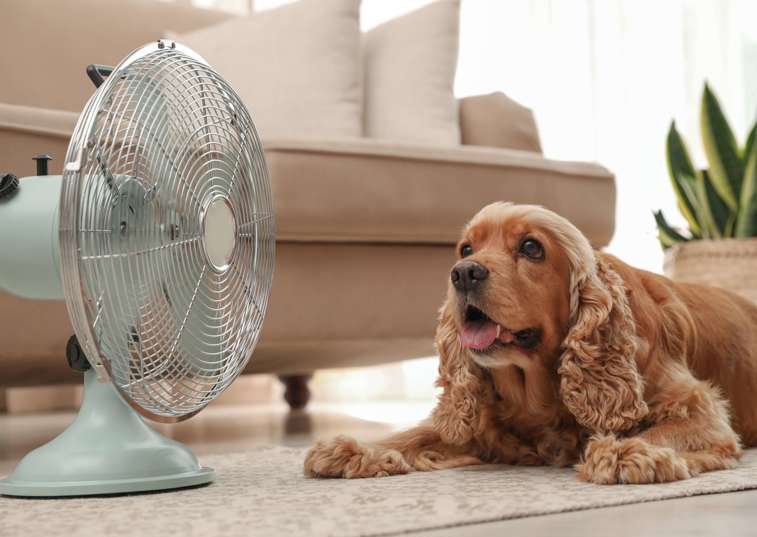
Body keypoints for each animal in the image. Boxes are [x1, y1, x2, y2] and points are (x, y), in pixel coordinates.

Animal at [302, 203, 756, 484]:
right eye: (466, 248)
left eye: (531, 247)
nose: (463, 273)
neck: (538, 392)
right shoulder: (478, 422)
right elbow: (414, 435)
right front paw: (355, 448)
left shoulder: (697, 407)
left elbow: (664, 431)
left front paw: (627, 452)